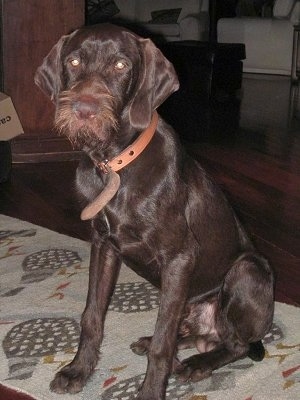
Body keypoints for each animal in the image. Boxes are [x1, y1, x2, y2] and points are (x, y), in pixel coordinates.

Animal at [34, 24, 274, 400]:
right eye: (73, 61)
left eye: (120, 65)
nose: (84, 110)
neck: (114, 165)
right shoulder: (103, 244)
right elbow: (92, 315)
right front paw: (78, 370)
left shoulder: (180, 257)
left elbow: (164, 343)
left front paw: (149, 391)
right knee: (192, 333)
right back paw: (161, 344)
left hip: (247, 270)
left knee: (232, 344)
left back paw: (197, 364)